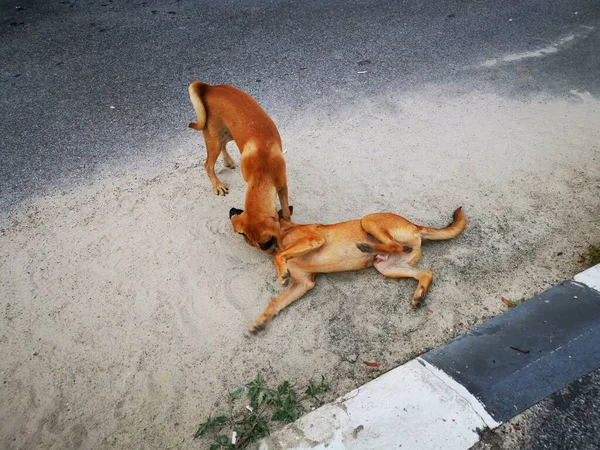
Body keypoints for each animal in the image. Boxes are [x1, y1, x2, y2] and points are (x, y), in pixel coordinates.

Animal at [188, 82, 290, 248]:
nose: (266, 248)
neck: (263, 171)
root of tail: (210, 87)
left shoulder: (283, 186)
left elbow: (286, 211)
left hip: (229, 134)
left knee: (222, 147)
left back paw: (227, 161)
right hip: (215, 140)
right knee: (208, 165)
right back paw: (217, 185)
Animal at [246, 208, 466, 334]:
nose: (232, 211)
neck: (285, 231)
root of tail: (415, 226)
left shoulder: (313, 240)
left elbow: (280, 256)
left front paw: (281, 270)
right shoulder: (302, 283)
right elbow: (275, 302)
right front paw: (261, 321)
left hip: (369, 221)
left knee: (395, 245)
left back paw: (367, 246)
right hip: (387, 267)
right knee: (425, 271)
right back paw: (419, 295)